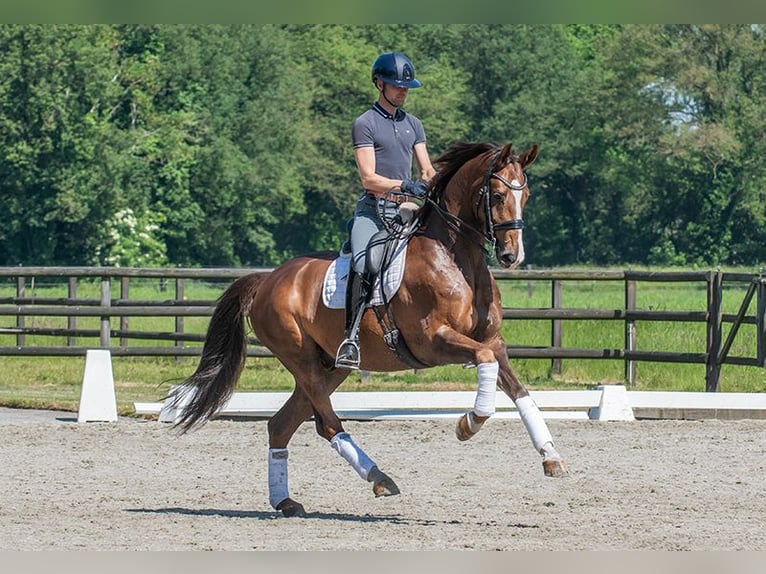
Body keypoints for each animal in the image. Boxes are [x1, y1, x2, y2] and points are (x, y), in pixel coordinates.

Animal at [174, 142, 568, 520]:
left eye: (526, 194)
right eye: (498, 196)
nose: (512, 256)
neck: (457, 260)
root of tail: (267, 279)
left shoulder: (491, 341)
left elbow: (519, 391)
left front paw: (551, 457)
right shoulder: (433, 341)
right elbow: (485, 365)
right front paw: (468, 424)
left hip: (330, 366)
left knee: (281, 425)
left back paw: (286, 502)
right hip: (301, 359)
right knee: (327, 424)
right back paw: (379, 478)